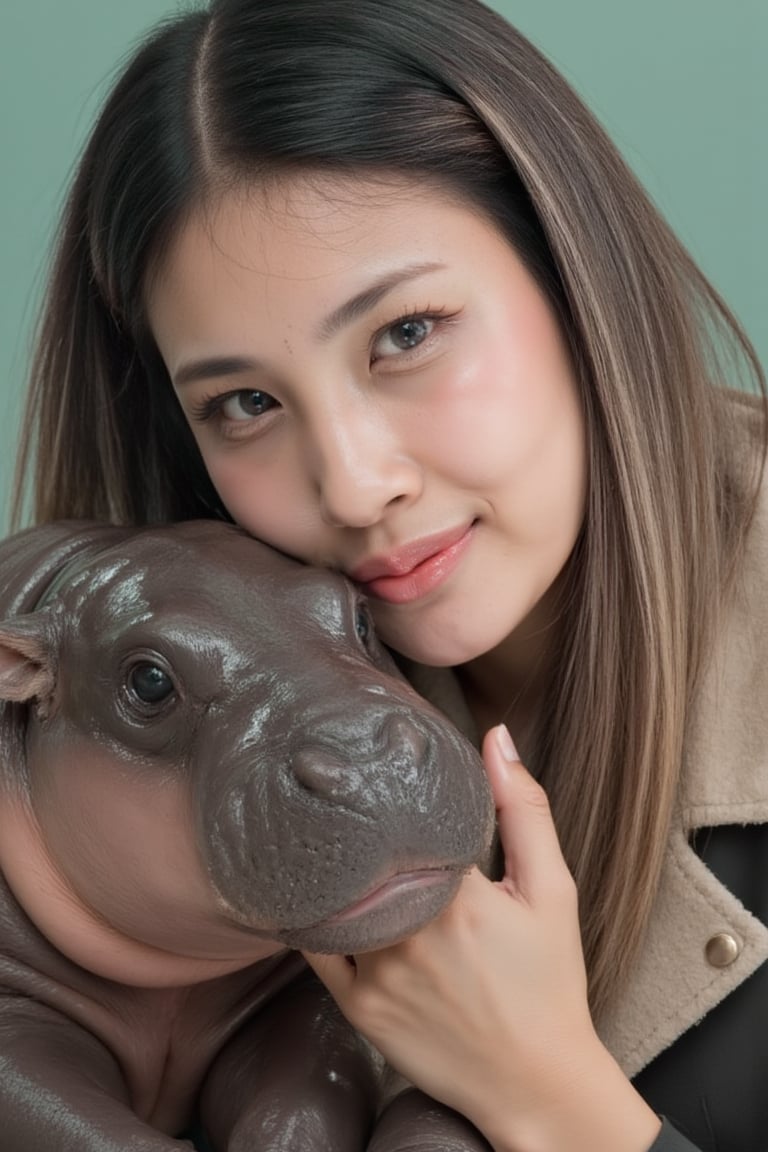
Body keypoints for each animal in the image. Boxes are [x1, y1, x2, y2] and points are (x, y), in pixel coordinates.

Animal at [0, 520, 492, 1152]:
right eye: (149, 681)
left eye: (361, 616)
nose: (370, 761)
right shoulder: (14, 1021)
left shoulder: (299, 1006)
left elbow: (301, 1101)